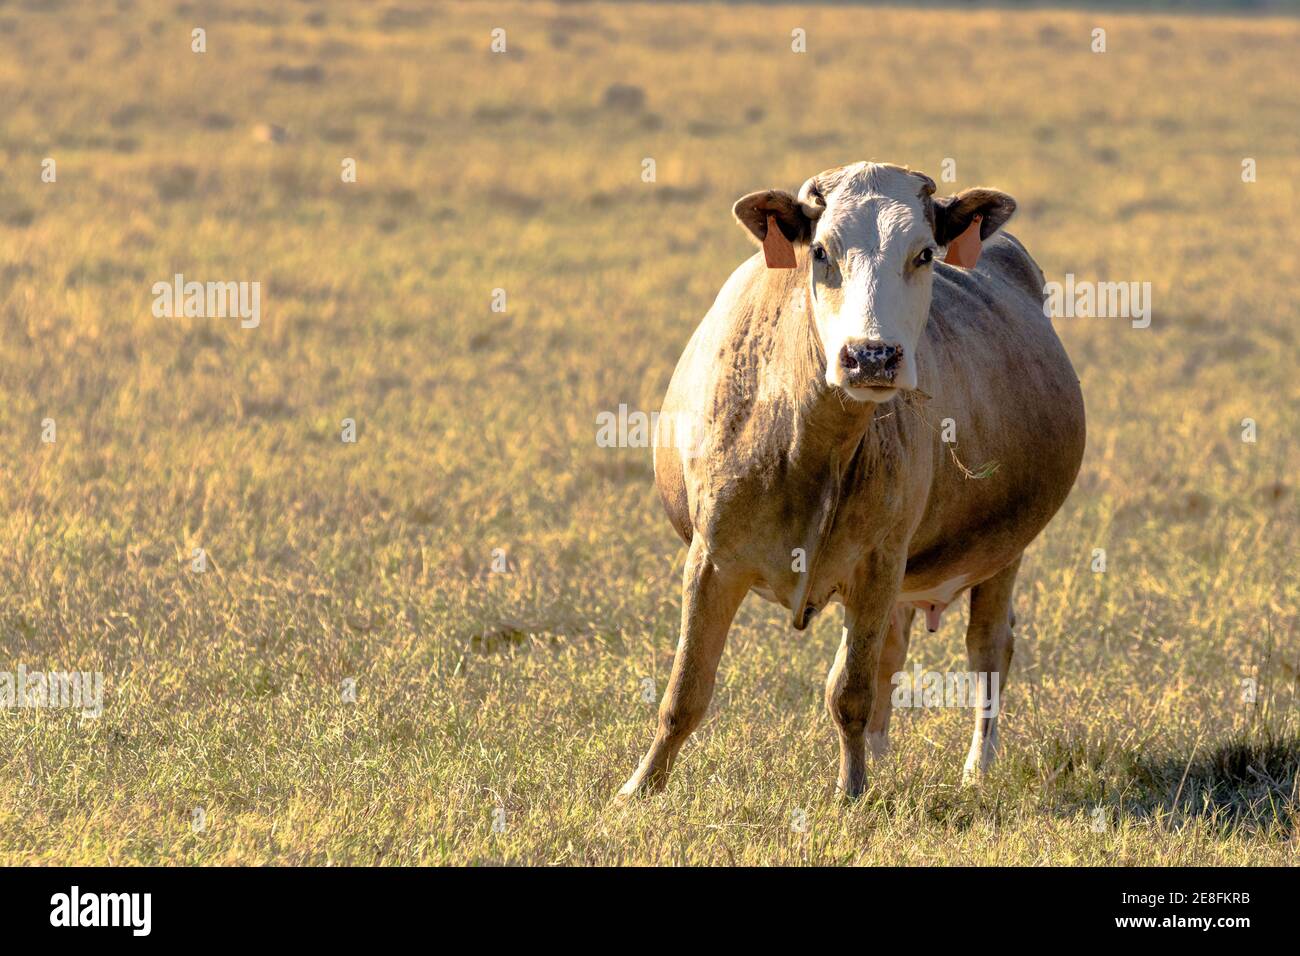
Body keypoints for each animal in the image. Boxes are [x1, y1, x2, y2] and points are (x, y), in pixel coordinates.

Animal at [618, 158, 1086, 801]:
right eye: (820, 251)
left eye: (924, 254)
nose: (872, 356)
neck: (802, 441)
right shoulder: (712, 559)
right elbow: (685, 691)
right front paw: (640, 788)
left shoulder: (877, 562)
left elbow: (849, 691)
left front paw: (852, 792)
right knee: (894, 649)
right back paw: (885, 754)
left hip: (1001, 549)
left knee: (988, 648)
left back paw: (976, 768)